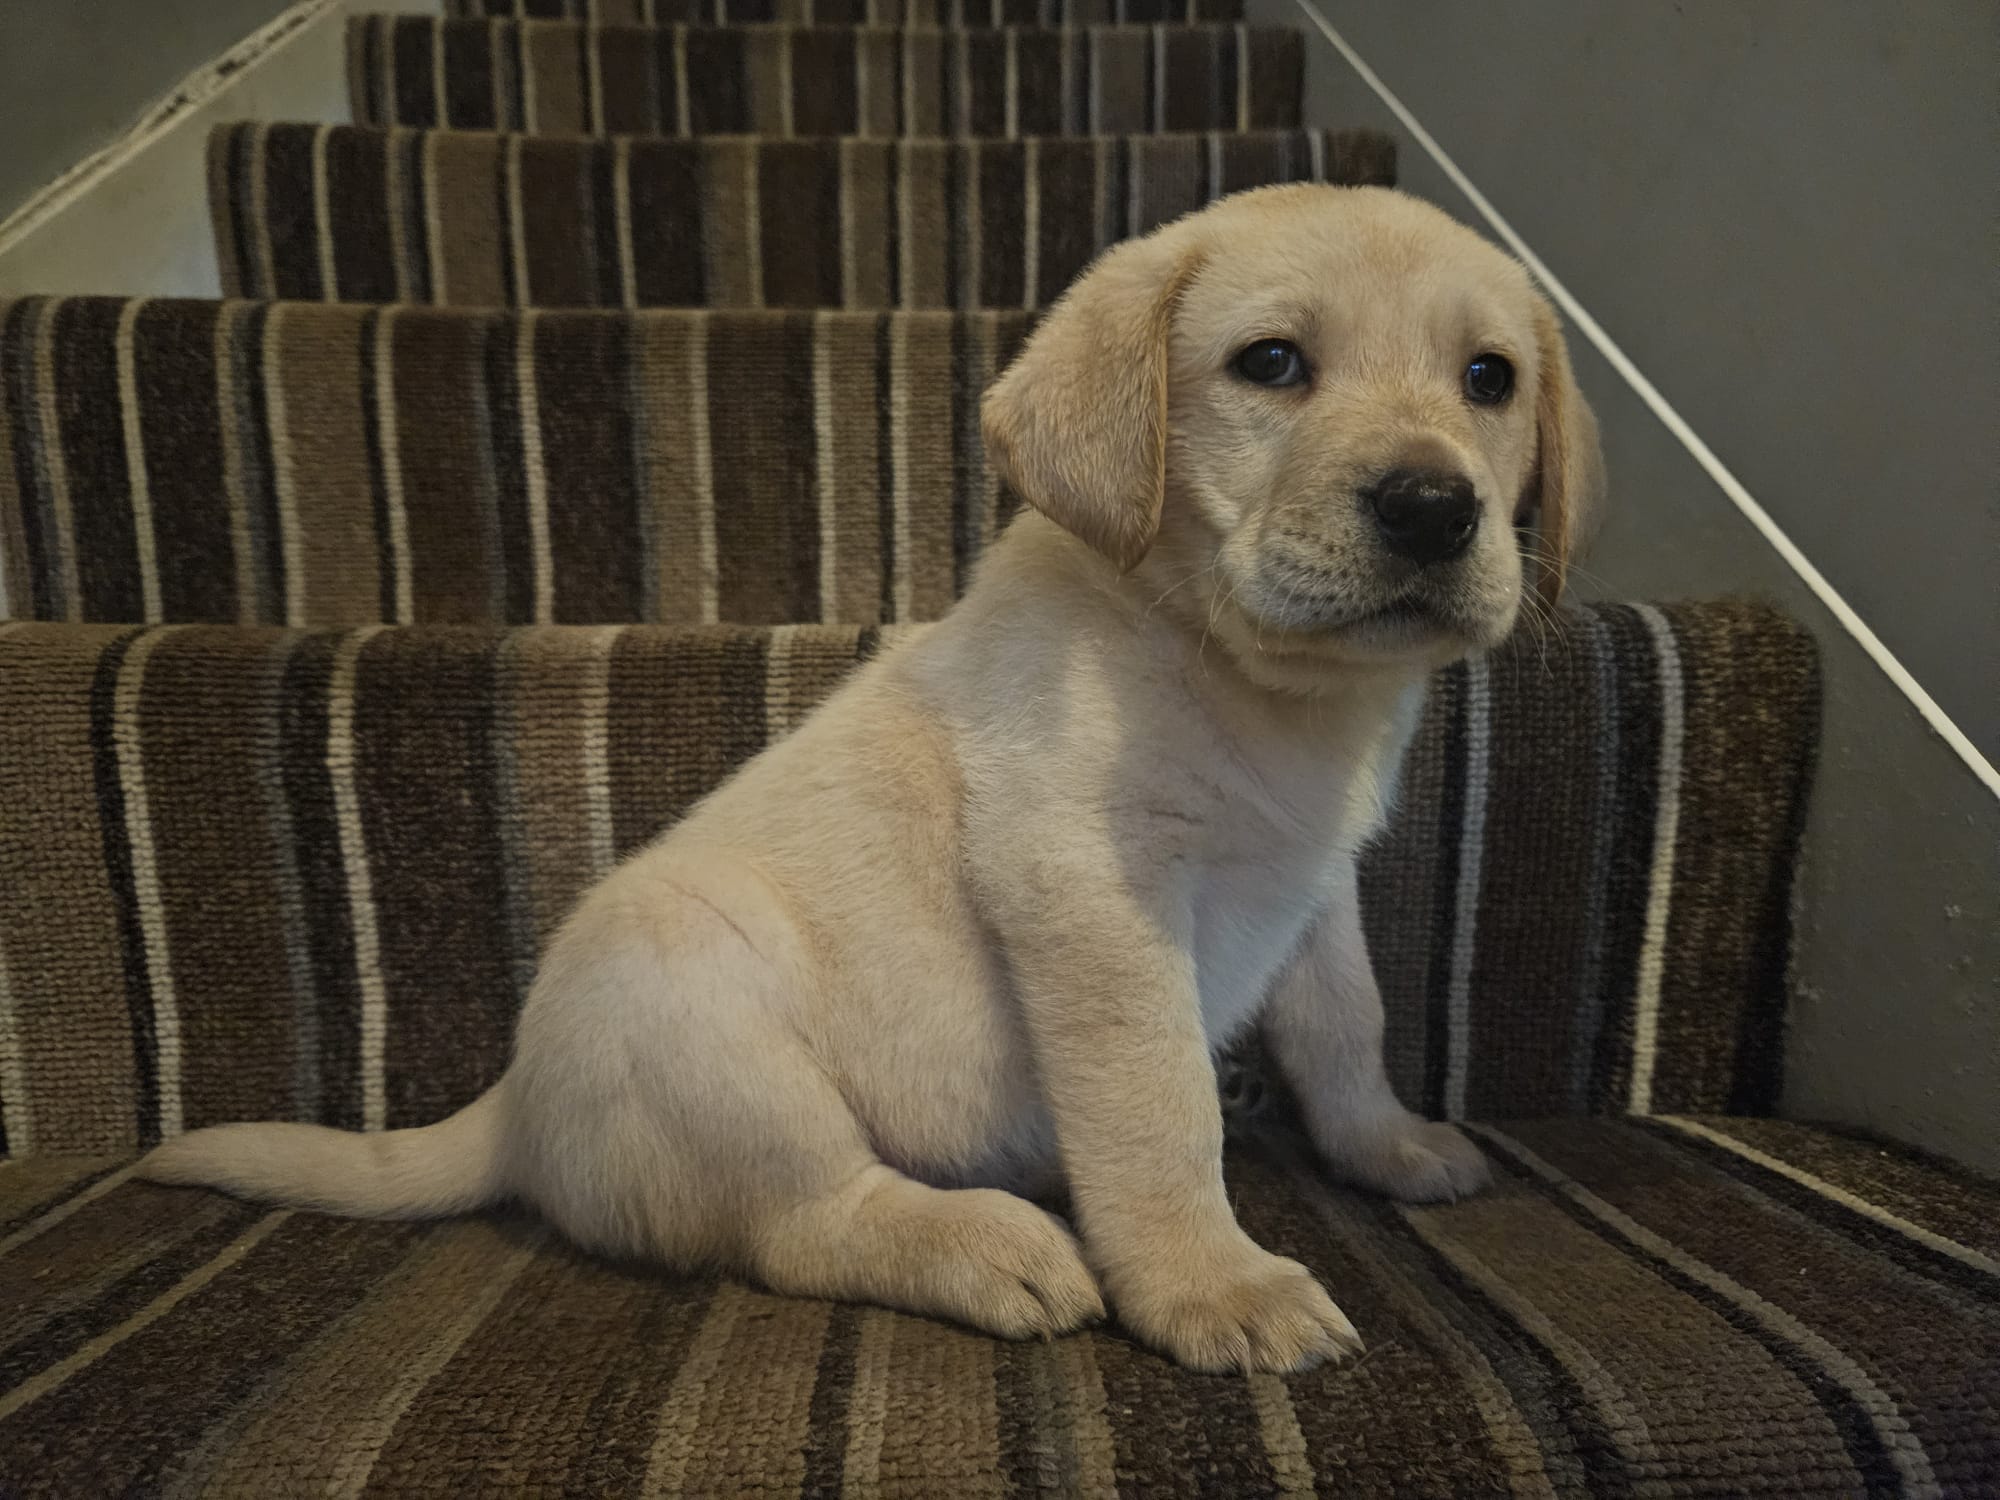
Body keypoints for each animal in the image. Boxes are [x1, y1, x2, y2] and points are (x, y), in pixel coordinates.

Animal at [142, 184, 1604, 1374]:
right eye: (1273, 364)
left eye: (1488, 378)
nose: (1433, 507)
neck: (1244, 670)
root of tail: (513, 1105)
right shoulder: (1093, 893)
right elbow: (1160, 1109)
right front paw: (1210, 1283)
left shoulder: (1315, 886)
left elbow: (1346, 1024)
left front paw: (1389, 1144)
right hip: (701, 1003)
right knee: (803, 1220)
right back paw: (981, 1244)